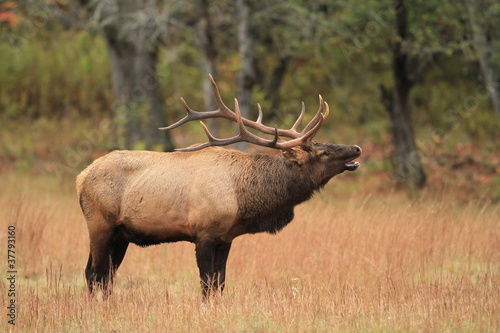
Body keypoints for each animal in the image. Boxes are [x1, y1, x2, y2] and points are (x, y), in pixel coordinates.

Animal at [76, 76, 362, 298]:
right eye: (323, 152)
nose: (356, 148)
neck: (242, 200)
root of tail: (80, 178)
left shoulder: (226, 237)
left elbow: (219, 283)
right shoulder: (203, 233)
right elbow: (206, 284)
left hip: (121, 234)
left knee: (107, 275)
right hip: (100, 224)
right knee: (93, 272)